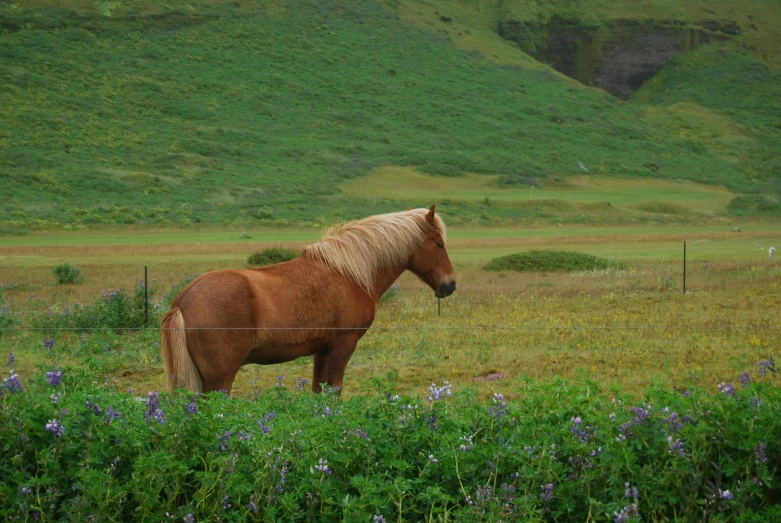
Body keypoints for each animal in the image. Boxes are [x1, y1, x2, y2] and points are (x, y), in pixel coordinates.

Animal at [161, 207, 454, 396]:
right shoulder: (342, 344)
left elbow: (318, 393)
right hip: (219, 379)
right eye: (439, 244)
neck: (348, 273)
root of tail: (182, 301)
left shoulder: (322, 350)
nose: (449, 285)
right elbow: (334, 393)